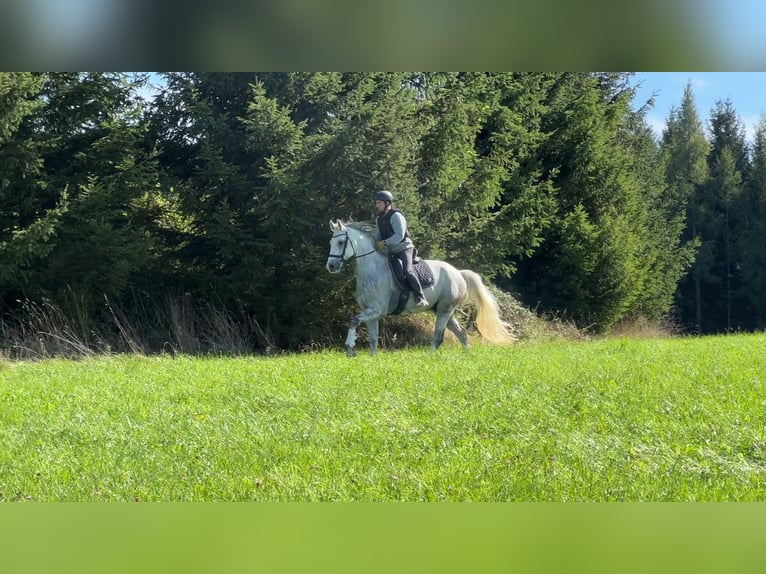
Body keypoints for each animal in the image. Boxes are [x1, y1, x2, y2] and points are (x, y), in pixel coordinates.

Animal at [325, 219, 515, 356]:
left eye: (341, 242)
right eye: (331, 242)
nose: (331, 266)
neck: (371, 270)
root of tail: (458, 273)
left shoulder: (376, 310)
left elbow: (354, 320)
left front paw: (350, 346)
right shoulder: (371, 312)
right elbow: (373, 339)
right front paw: (371, 358)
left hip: (445, 309)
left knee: (438, 336)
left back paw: (430, 357)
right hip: (444, 310)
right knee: (461, 333)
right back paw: (469, 356)